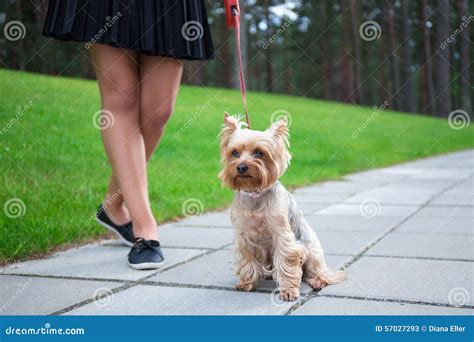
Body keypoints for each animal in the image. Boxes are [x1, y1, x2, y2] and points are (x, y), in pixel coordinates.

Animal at [218, 112, 344, 300]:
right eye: (234, 153)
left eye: (259, 153)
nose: (241, 167)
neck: (255, 192)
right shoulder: (244, 235)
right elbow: (248, 259)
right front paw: (247, 283)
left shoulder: (282, 235)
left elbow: (286, 262)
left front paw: (288, 291)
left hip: (312, 250)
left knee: (319, 271)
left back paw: (318, 280)